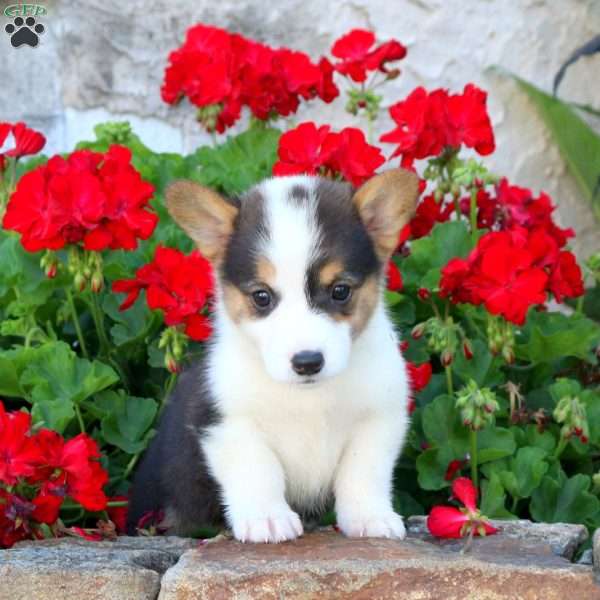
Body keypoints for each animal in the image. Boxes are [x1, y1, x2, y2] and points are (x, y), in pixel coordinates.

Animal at [126, 170, 418, 544]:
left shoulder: (379, 418)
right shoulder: (227, 422)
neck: (309, 398)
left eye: (340, 291)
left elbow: (363, 471)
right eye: (261, 297)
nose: (307, 362)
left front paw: (370, 518)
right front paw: (267, 519)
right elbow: (258, 468)